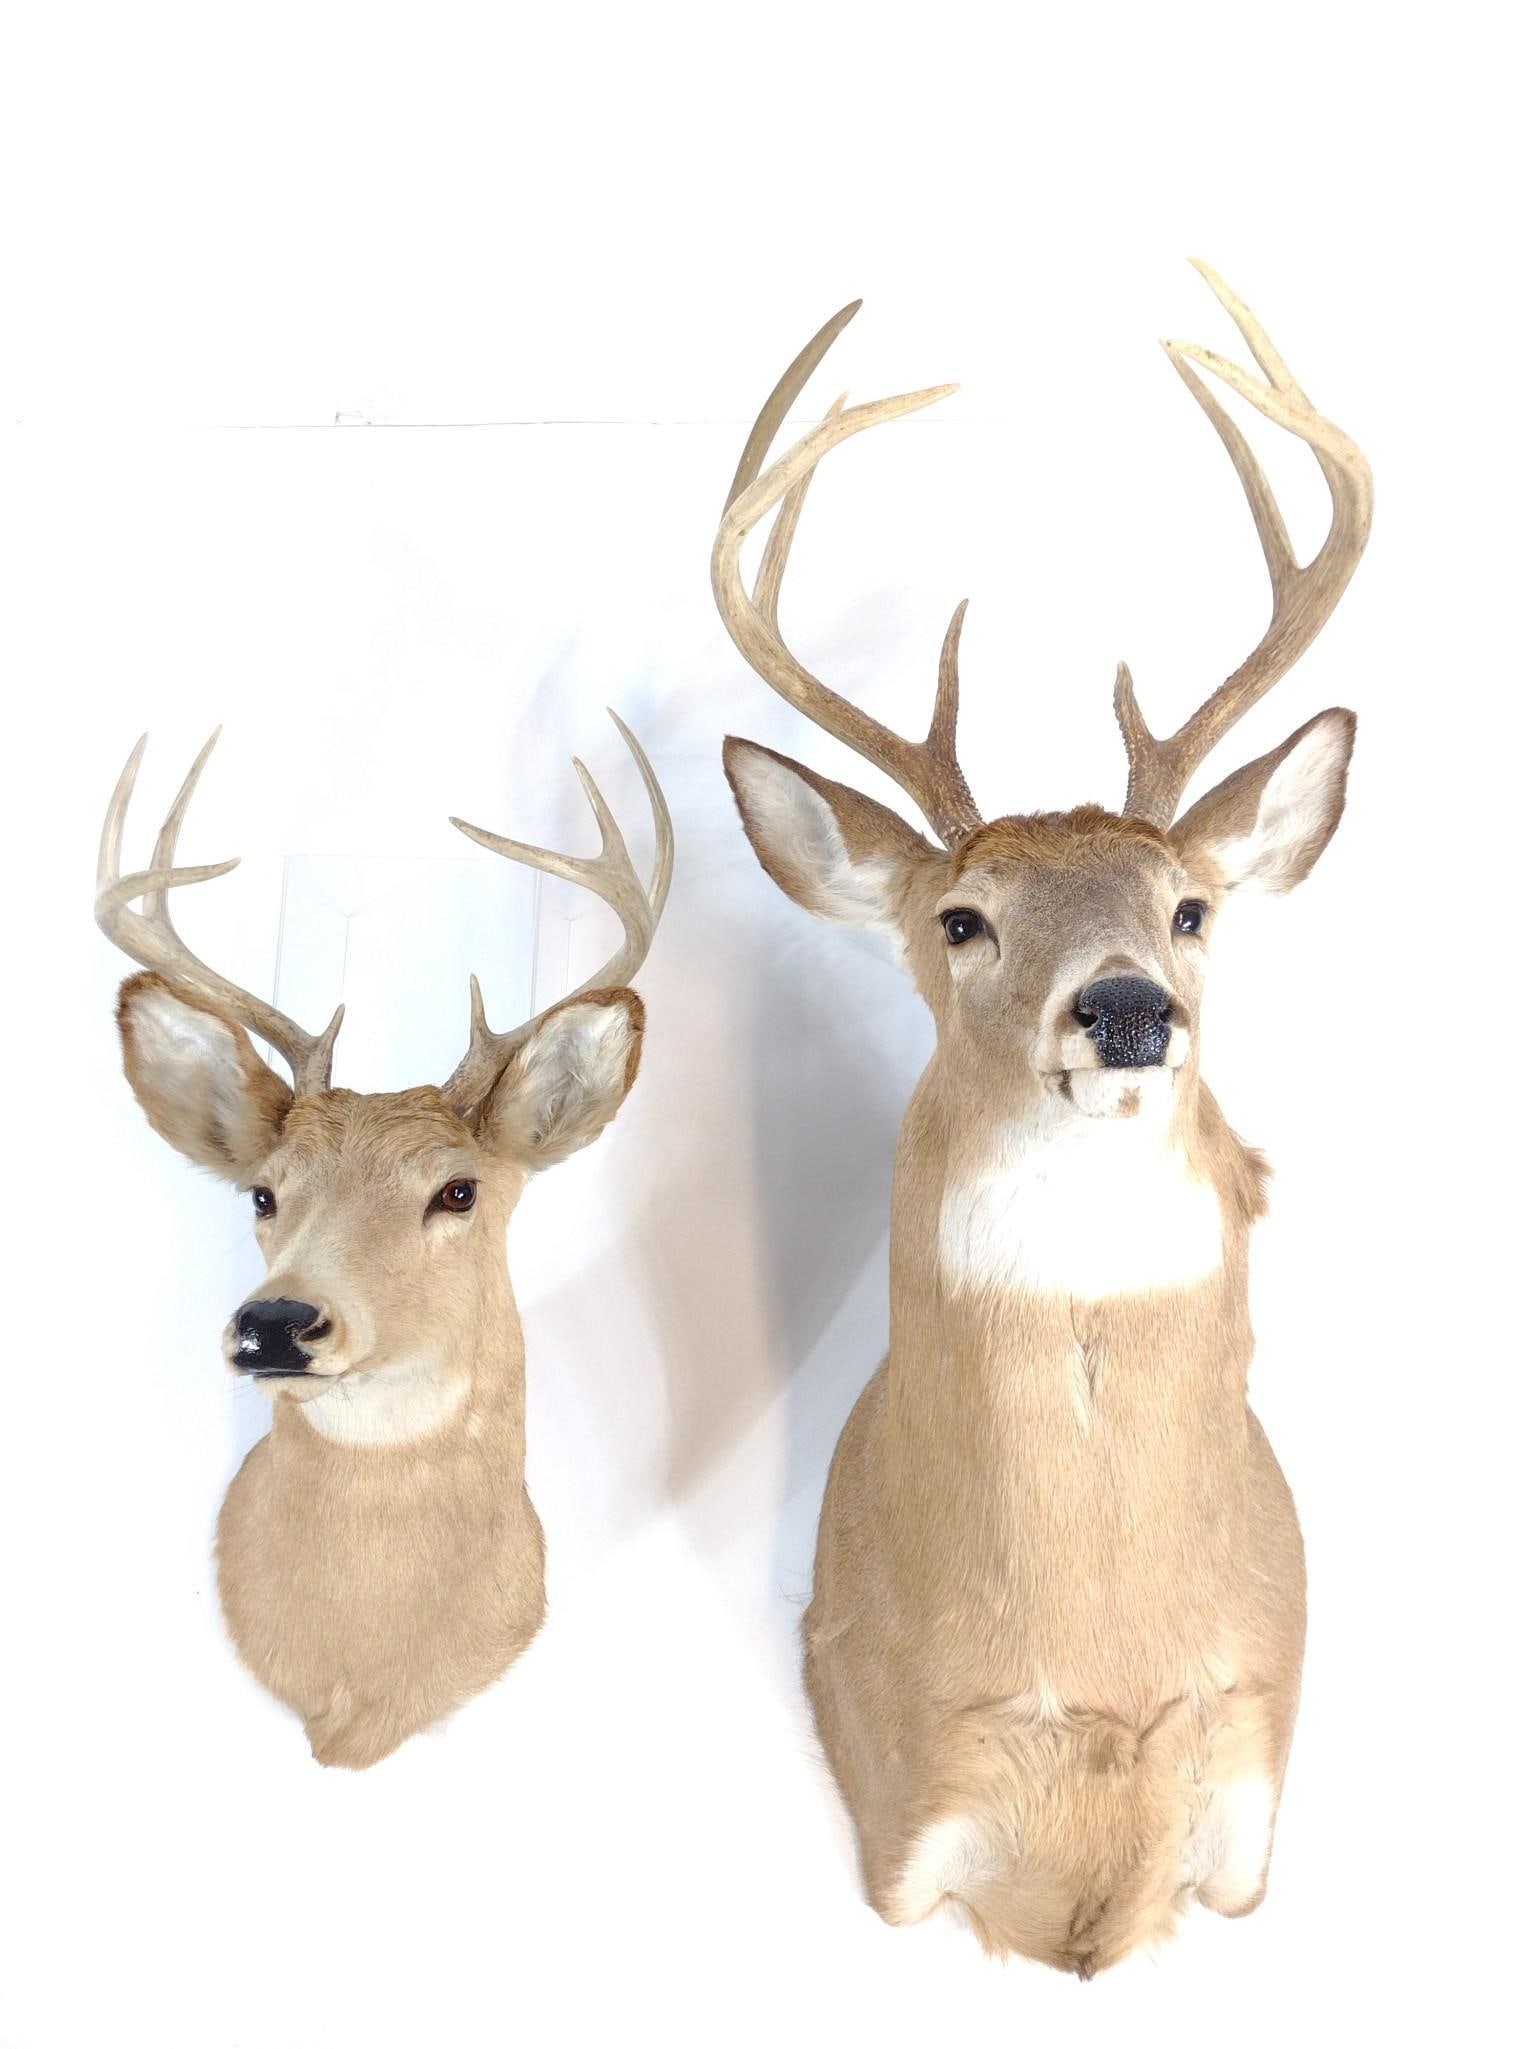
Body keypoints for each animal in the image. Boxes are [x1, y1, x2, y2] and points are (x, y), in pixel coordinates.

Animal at [712, 265, 1371, 1973]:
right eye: (961, 918)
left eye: (1191, 904)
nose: (1127, 1006)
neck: (1100, 1654)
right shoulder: (899, 1823)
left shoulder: (1247, 1814)